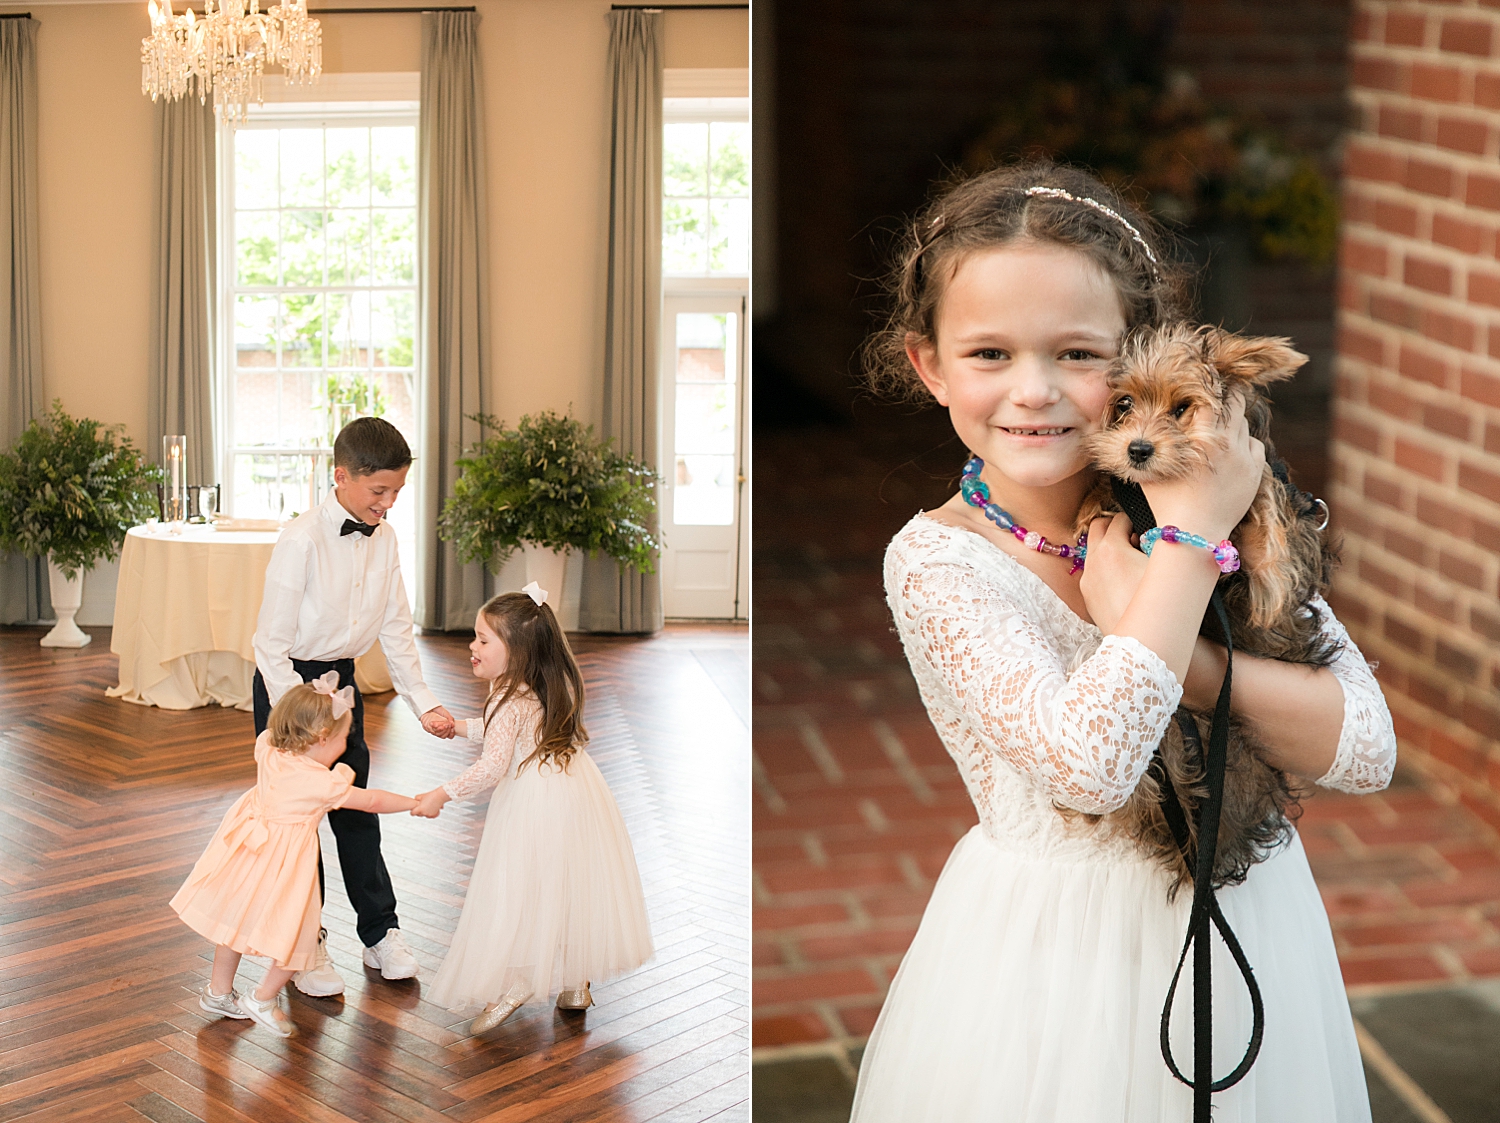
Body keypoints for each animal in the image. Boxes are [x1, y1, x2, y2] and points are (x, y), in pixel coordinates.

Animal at [1080, 322, 1338, 893]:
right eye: (1123, 404)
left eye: (1182, 408)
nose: (1136, 449)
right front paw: (1088, 507)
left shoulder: (1264, 478)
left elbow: (1266, 505)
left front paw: (1271, 577)